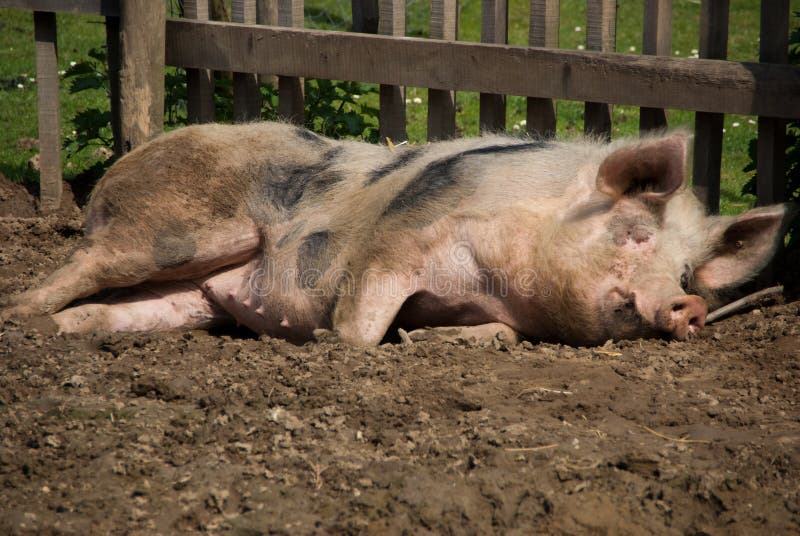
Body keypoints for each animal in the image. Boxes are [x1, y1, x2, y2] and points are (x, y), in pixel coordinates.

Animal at [0, 121, 792, 346]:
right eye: (632, 234)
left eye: (688, 273)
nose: (688, 305)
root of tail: (121, 166)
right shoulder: (394, 247)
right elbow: (358, 329)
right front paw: (328, 338)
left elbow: (489, 333)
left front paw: (429, 340)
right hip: (174, 234)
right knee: (76, 267)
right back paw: (18, 317)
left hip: (189, 294)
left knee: (115, 311)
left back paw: (59, 333)